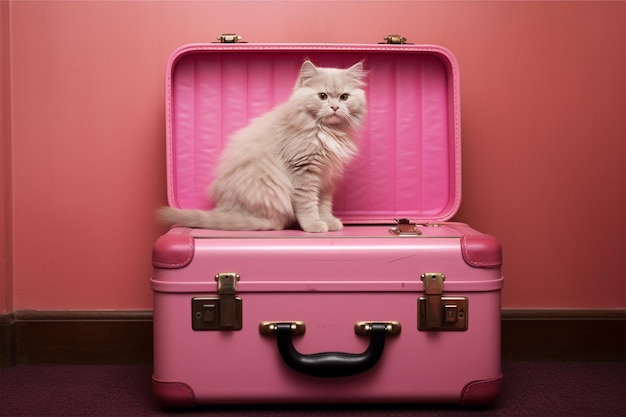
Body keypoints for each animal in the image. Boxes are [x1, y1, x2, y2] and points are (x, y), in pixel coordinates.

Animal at [158, 60, 368, 232]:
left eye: (344, 97)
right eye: (323, 96)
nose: (335, 107)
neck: (326, 131)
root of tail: (228, 208)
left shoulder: (326, 177)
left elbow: (323, 204)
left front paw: (328, 221)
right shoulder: (303, 172)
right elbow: (308, 204)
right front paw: (313, 224)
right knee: (273, 221)